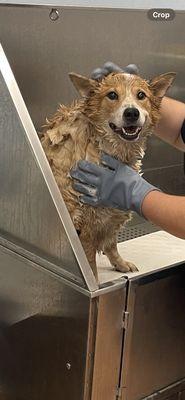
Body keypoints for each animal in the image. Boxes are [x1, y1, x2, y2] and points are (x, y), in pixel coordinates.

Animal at [40, 70, 175, 280]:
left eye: (141, 95)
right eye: (112, 95)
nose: (131, 113)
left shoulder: (114, 213)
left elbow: (111, 244)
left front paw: (120, 264)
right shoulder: (85, 226)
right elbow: (90, 265)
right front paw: (95, 282)